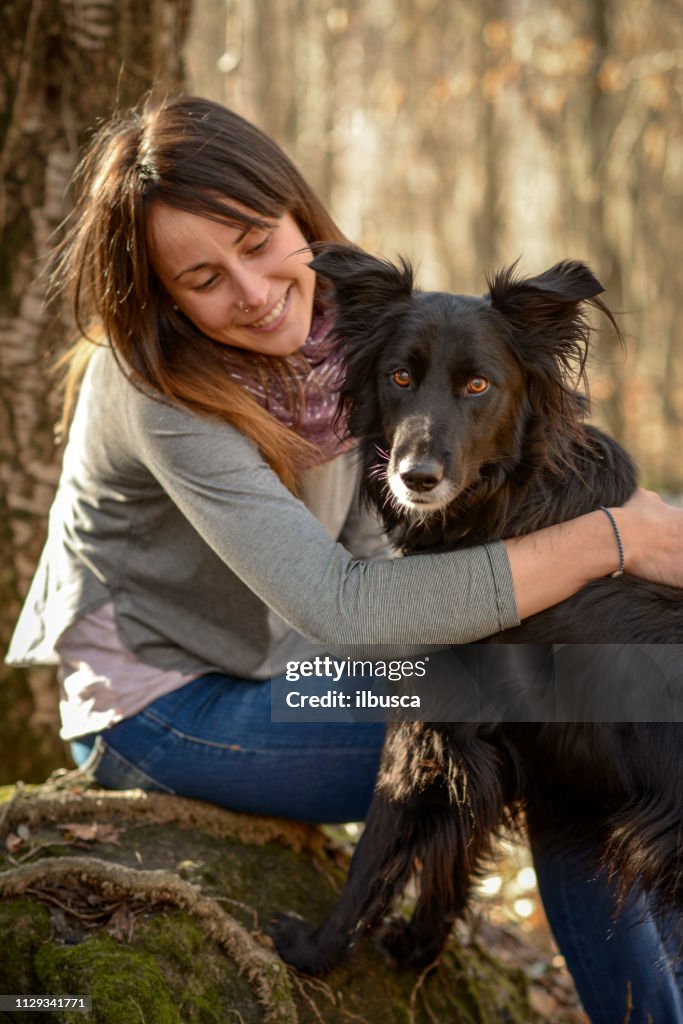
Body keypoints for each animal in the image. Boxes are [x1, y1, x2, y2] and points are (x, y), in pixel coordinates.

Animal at [272, 243, 683, 970]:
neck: (511, 504)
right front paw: (418, 948)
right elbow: (453, 858)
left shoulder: (426, 725)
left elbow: (376, 851)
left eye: (477, 387)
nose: (415, 477)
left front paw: (316, 950)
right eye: (400, 376)